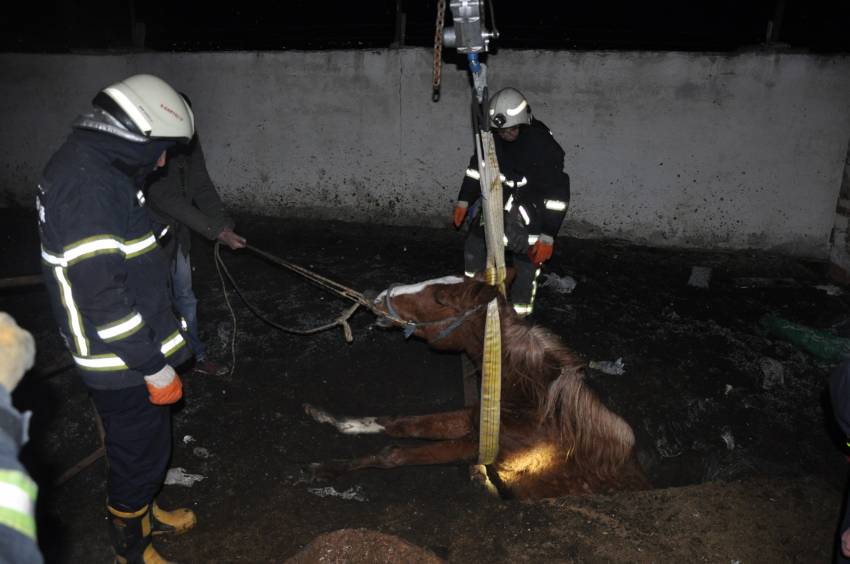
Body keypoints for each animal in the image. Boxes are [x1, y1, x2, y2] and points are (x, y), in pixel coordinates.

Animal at [302, 274, 644, 498]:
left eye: (439, 298)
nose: (373, 296)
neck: (534, 406)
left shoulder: (480, 447)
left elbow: (394, 454)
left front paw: (328, 468)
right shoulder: (472, 419)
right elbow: (400, 424)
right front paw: (335, 420)